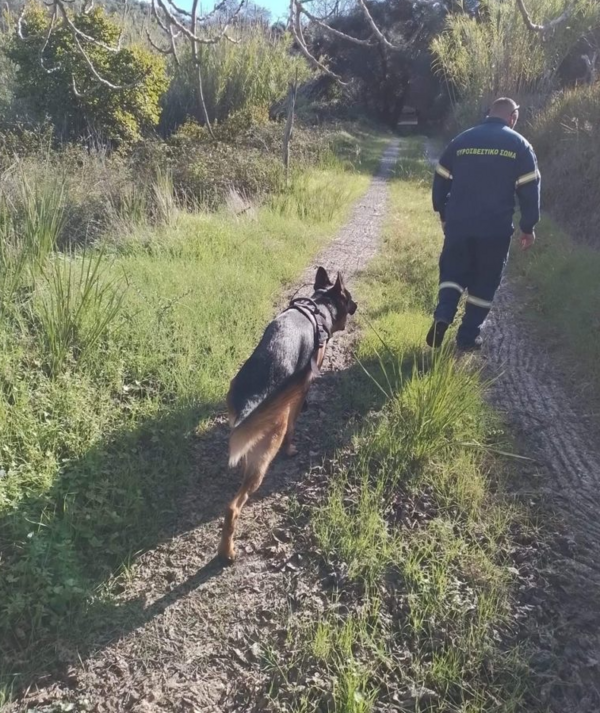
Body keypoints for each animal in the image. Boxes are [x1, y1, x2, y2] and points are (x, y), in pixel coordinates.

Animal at [218, 268, 356, 560]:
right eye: (349, 298)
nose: (357, 305)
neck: (319, 306)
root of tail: (251, 403)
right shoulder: (301, 390)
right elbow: (294, 423)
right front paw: (291, 449)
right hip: (267, 449)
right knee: (233, 507)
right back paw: (227, 551)